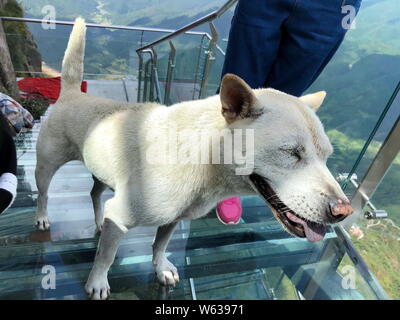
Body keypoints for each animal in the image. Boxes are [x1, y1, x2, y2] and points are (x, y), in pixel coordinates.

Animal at [35, 18, 354, 300]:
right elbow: (107, 255)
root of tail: (72, 93)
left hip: (101, 171)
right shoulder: (122, 214)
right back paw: (42, 218)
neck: (203, 158)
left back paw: (99, 220)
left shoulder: (173, 219)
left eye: (327, 156)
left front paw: (161, 268)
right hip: (46, 166)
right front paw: (98, 283)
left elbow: (160, 244)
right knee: (44, 193)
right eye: (291, 152)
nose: (343, 211)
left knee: (94, 194)